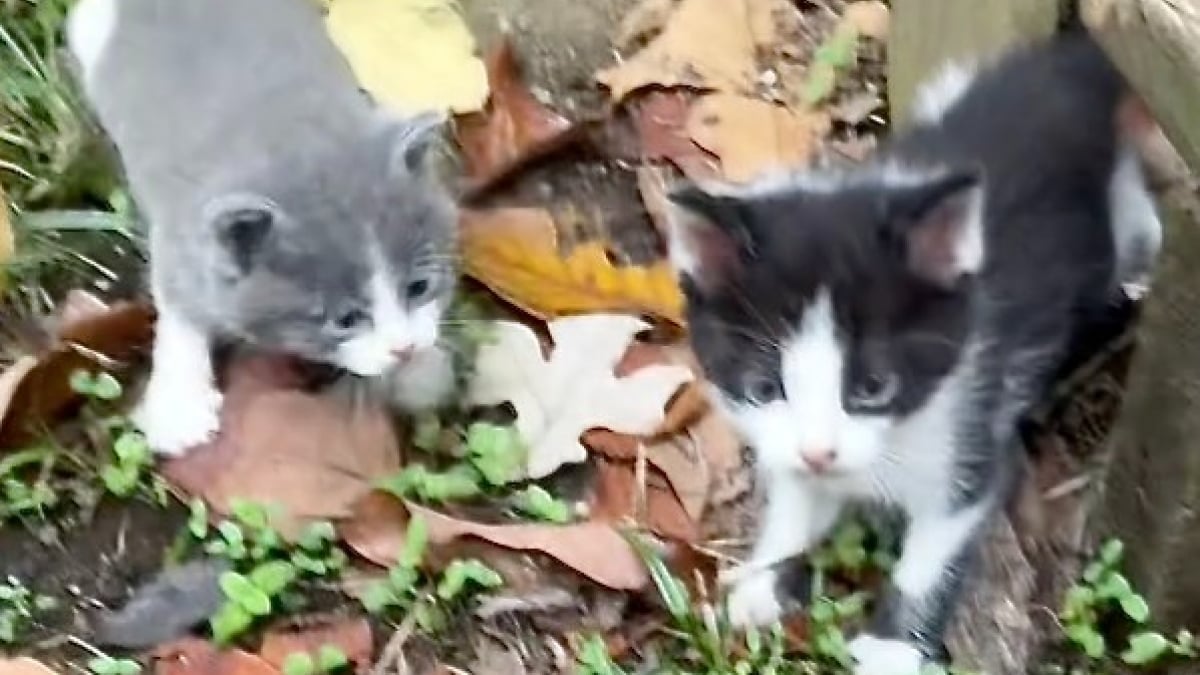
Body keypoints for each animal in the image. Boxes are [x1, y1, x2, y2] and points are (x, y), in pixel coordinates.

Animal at [66, 0, 458, 456]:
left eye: (419, 287)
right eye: (345, 319)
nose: (404, 350)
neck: (296, 142)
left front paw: (420, 371)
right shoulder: (183, 236)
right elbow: (179, 306)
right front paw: (180, 407)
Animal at [667, 32, 1161, 672]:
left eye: (874, 387)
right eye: (763, 387)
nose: (821, 453)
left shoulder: (970, 427)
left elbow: (938, 546)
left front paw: (892, 644)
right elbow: (797, 497)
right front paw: (765, 580)